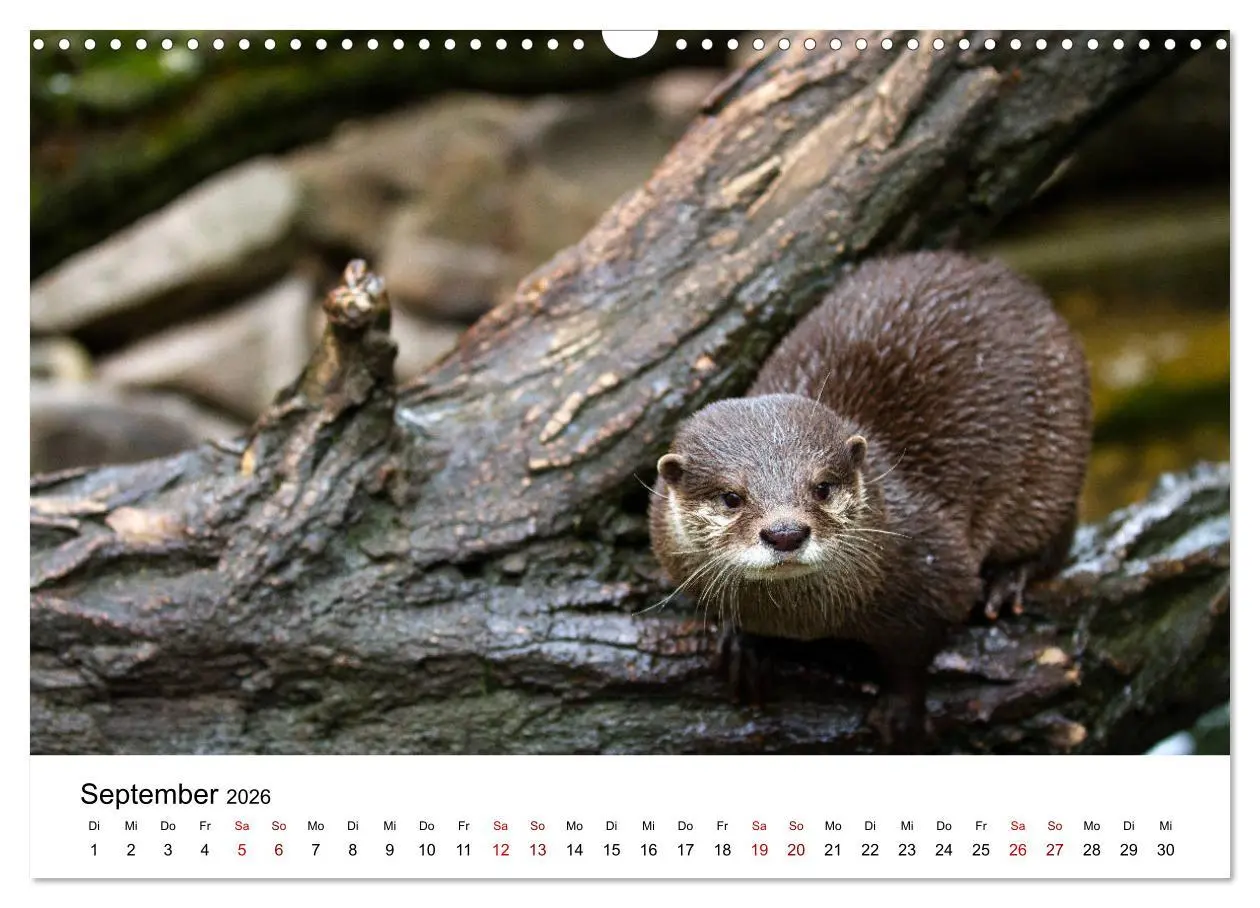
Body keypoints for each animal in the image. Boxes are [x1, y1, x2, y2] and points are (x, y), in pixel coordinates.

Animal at [648, 250, 1092, 750]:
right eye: (730, 497)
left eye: (822, 487)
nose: (785, 532)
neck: (802, 620)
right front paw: (744, 646)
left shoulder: (936, 569)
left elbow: (914, 655)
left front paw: (901, 714)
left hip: (1054, 457)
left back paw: (1007, 581)